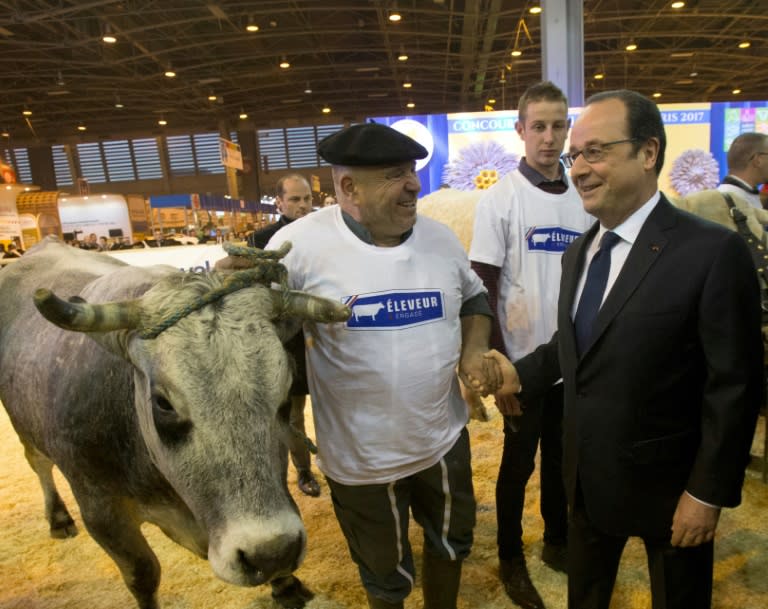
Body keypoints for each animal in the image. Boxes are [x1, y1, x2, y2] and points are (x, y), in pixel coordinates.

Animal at [0, 236, 352, 608]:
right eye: (163, 403)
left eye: (285, 393)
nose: (271, 553)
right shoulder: (101, 511)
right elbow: (143, 574)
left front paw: (286, 585)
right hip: (23, 426)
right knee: (39, 464)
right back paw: (57, 518)